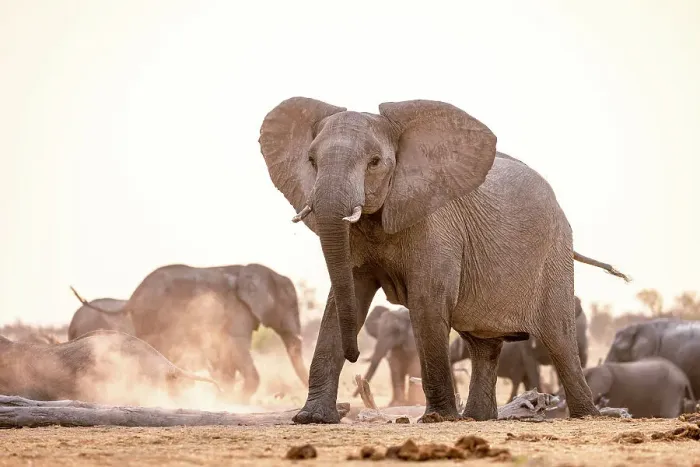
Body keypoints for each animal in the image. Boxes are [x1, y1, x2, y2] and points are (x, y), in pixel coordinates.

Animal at [75, 263, 308, 402]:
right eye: (290, 306)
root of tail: (131, 298)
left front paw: (226, 398)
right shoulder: (237, 309)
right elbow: (236, 344)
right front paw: (236, 400)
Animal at [257, 96, 629, 423]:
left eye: (375, 162)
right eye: (311, 161)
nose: (356, 356)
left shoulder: (436, 225)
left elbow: (426, 302)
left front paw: (437, 419)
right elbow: (342, 300)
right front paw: (311, 419)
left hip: (554, 253)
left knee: (559, 337)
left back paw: (587, 415)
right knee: (482, 344)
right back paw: (478, 418)